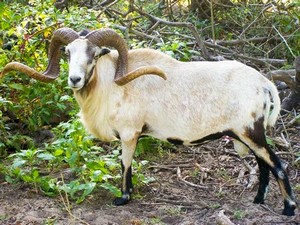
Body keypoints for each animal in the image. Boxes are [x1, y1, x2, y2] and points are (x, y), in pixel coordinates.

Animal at [1, 26, 298, 216]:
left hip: (251, 133)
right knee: (263, 166)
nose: (74, 79)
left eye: (94, 55)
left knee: (277, 165)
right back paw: (258, 201)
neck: (112, 87)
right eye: (68, 53)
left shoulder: (129, 133)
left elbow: (124, 164)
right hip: (246, 136)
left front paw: (122, 199)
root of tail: (264, 83)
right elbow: (128, 165)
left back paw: (288, 208)